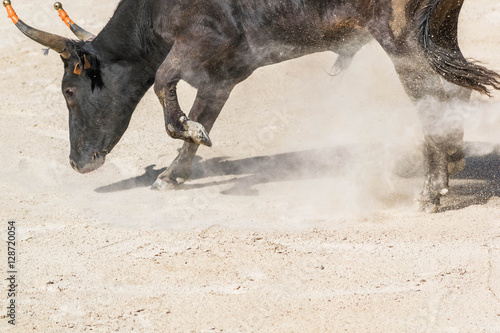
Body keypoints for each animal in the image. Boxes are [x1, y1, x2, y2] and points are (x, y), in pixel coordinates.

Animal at [3, 0, 500, 211]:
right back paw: (449, 165)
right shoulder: (222, 74)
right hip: (436, 32)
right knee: (452, 91)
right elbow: (200, 114)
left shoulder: (199, 40)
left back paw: (432, 190)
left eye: (69, 91)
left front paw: (186, 140)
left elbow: (164, 81)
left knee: (432, 98)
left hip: (401, 39)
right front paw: (172, 174)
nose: (76, 163)